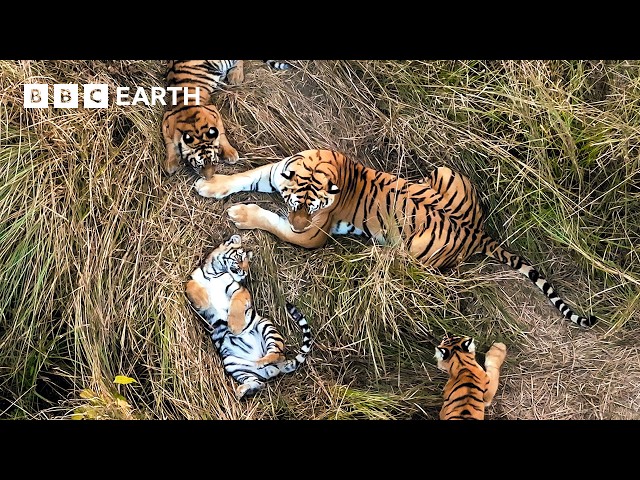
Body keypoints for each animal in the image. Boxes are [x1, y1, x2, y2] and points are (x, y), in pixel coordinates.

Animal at [161, 60, 292, 179]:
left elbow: (222, 135)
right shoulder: (166, 119)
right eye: (199, 165)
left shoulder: (214, 111)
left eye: (214, 161)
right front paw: (171, 163)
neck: (193, 126)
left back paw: (235, 76)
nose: (209, 178)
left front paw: (231, 153)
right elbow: (169, 144)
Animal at [185, 234, 312, 399]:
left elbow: (237, 304)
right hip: (233, 363)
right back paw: (242, 390)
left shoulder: (239, 289)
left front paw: (235, 326)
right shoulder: (194, 281)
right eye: (240, 258)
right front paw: (204, 300)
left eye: (247, 263)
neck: (214, 272)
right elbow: (190, 285)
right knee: (259, 382)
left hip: (266, 326)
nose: (244, 272)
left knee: (275, 353)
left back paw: (261, 362)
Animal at [194, 148, 598, 328]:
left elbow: (272, 221)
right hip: (445, 171)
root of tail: (478, 233)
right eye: (296, 203)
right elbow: (245, 177)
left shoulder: (314, 234)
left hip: (414, 249)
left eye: (310, 212)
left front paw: (240, 213)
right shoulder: (275, 172)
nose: (298, 224)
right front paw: (211, 186)